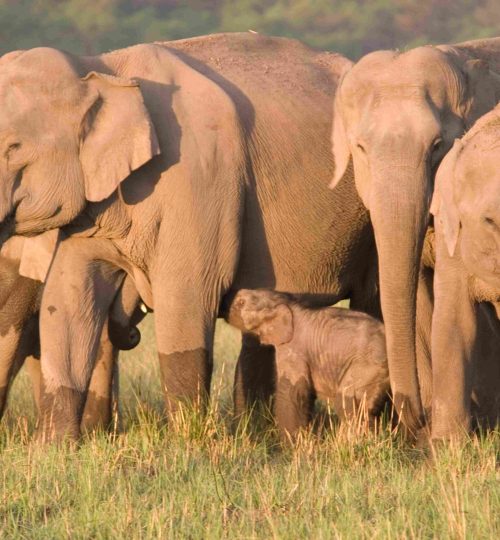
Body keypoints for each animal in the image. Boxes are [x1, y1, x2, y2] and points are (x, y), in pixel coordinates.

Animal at [228, 292, 390, 438]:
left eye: (241, 302)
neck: (285, 301)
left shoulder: (293, 350)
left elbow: (291, 393)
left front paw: (291, 448)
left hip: (368, 367)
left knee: (348, 403)